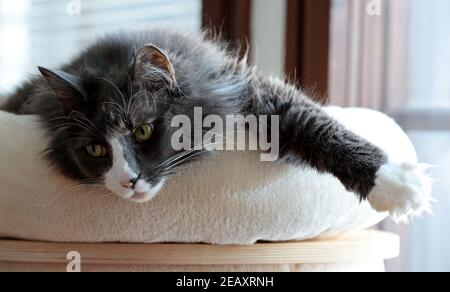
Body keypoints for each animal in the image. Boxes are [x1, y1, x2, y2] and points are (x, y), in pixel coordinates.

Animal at [0, 27, 432, 220]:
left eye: (142, 130)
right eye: (95, 149)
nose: (127, 180)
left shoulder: (248, 89)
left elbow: (313, 122)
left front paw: (395, 183)